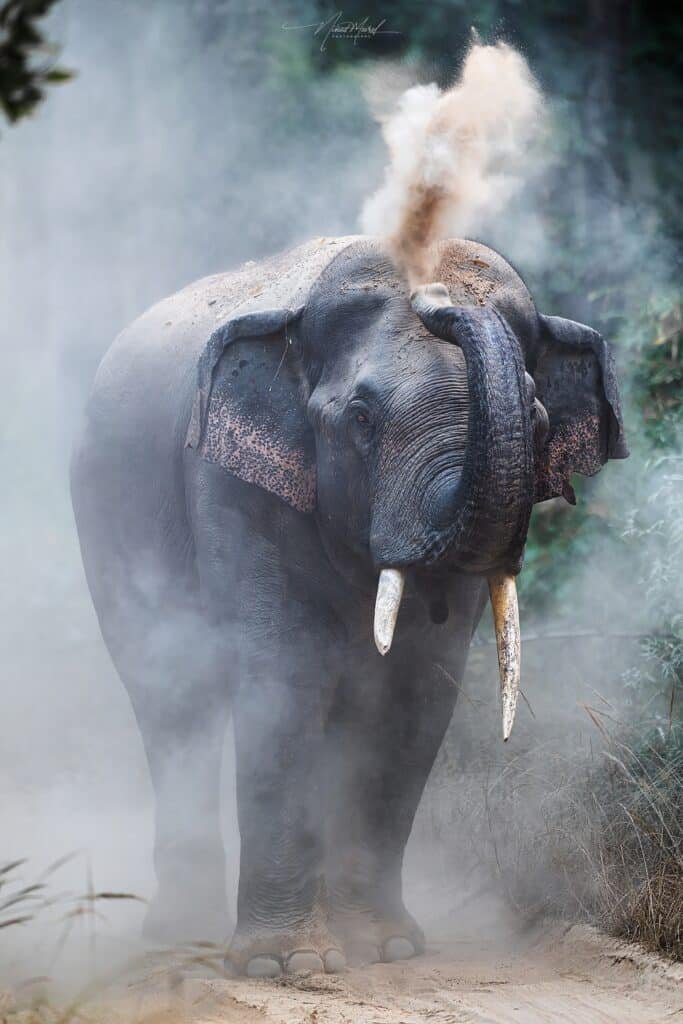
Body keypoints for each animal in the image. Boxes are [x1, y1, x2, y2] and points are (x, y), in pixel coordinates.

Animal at [70, 235, 627, 977]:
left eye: (538, 423)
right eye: (361, 418)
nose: (436, 298)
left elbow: (413, 697)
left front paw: (385, 949)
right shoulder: (230, 484)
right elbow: (285, 680)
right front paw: (286, 966)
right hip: (109, 529)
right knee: (171, 704)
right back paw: (180, 931)